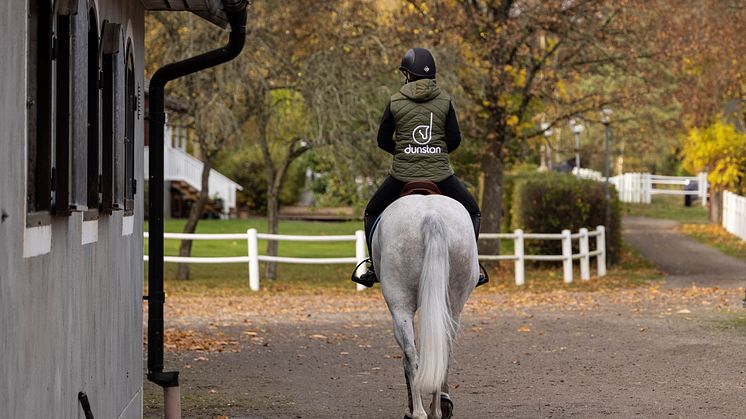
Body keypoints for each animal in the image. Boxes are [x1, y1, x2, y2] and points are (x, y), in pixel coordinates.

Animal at [370, 194, 476, 419]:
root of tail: (432, 215)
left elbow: (406, 357)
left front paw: (410, 408)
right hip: (453, 306)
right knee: (442, 351)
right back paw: (436, 410)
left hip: (400, 305)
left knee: (411, 356)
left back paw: (418, 412)